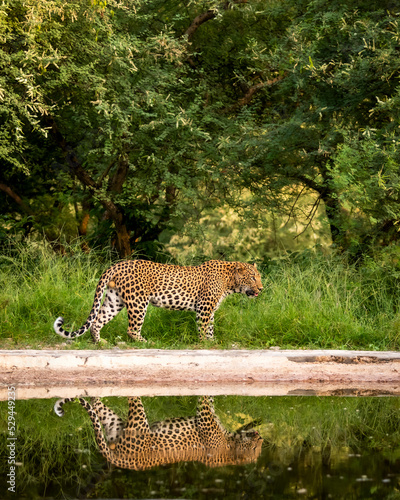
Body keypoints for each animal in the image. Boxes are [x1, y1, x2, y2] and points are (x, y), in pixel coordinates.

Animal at [54, 258, 264, 344]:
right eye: (253, 277)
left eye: (259, 277)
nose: (261, 288)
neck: (230, 282)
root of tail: (117, 264)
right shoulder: (204, 307)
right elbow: (204, 327)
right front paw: (205, 342)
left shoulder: (210, 309)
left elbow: (210, 327)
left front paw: (212, 341)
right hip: (138, 302)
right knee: (132, 329)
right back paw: (146, 342)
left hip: (114, 299)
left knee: (97, 321)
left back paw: (100, 342)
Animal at [54, 394, 264, 468]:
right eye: (255, 450)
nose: (261, 437)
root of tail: (123, 462)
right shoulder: (205, 418)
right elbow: (206, 400)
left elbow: (209, 400)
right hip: (138, 420)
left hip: (118, 424)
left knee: (100, 407)